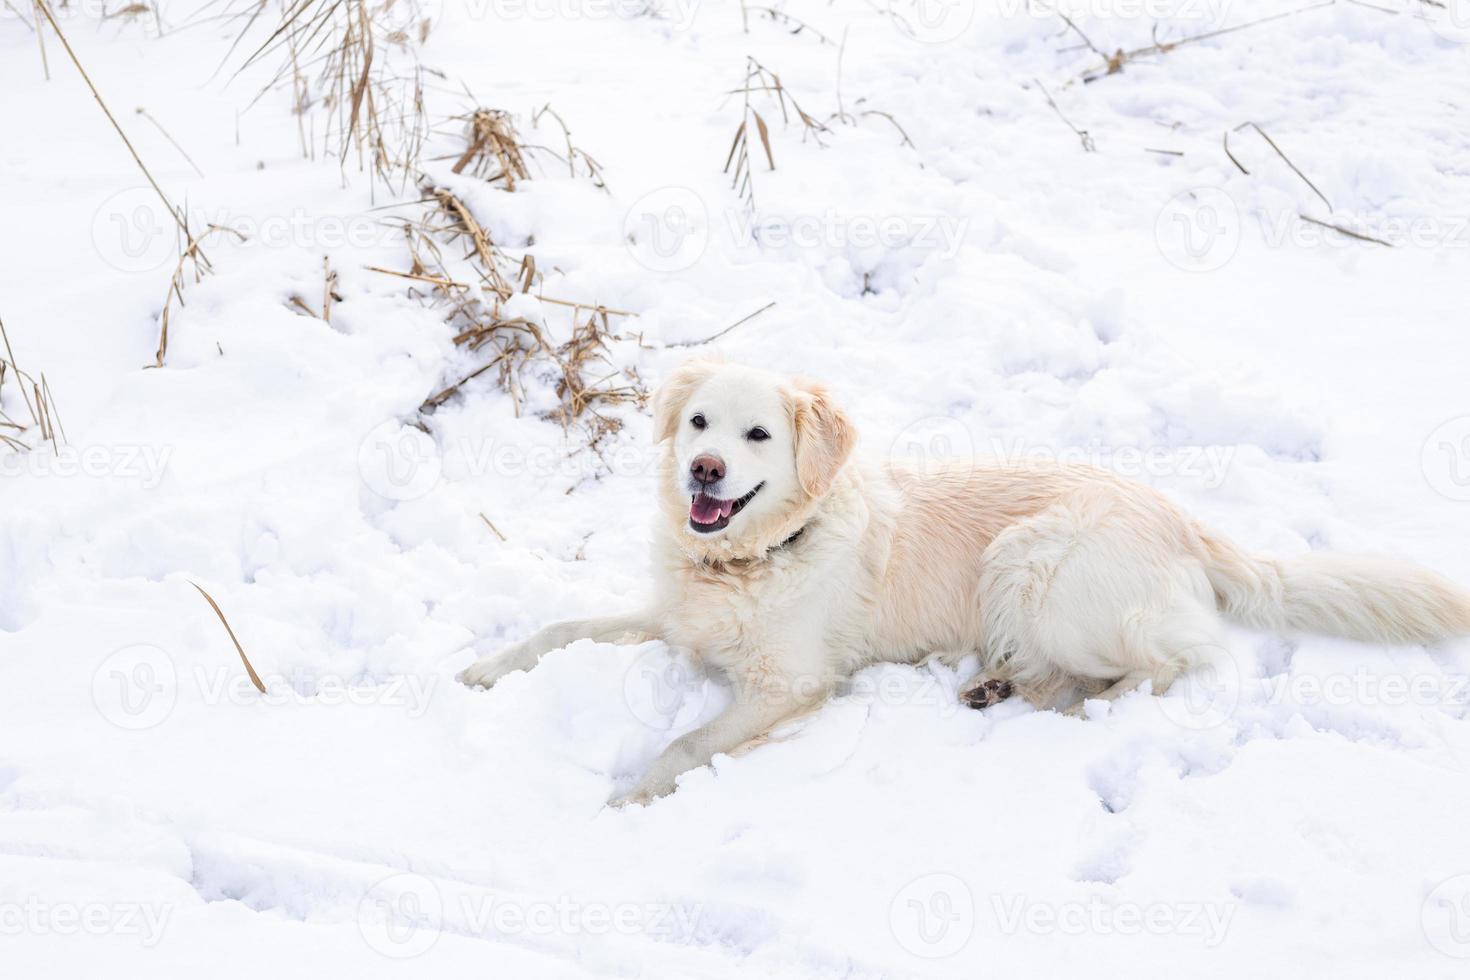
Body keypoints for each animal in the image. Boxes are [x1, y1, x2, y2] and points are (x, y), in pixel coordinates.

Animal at [458, 359, 1470, 805]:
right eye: (699, 422)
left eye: (757, 436)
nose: (704, 470)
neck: (750, 559)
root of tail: (1181, 517)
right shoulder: (672, 618)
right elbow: (559, 629)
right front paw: (482, 671)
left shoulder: (791, 685)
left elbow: (686, 741)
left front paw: (630, 795)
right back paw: (996, 686)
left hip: (1031, 560)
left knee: (1175, 662)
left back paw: (1068, 706)